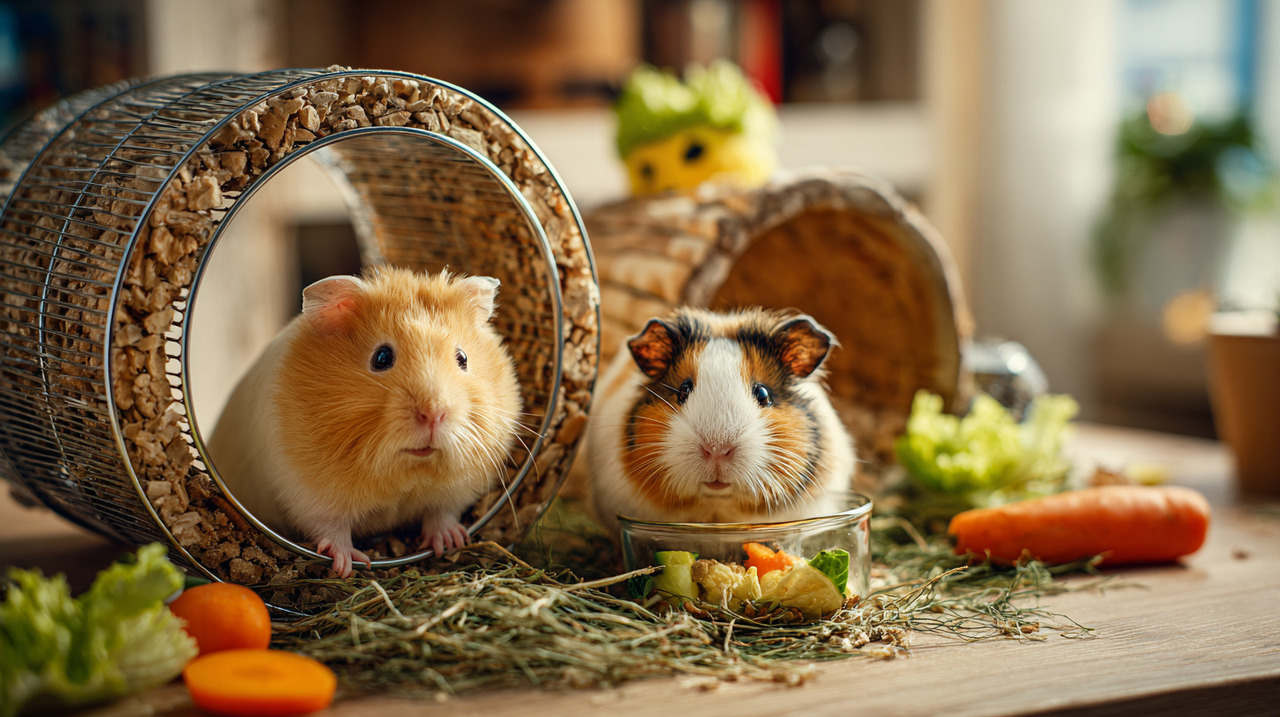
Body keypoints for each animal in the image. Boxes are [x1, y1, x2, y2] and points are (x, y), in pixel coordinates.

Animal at [208, 266, 522, 577]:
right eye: (381, 357)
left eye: (463, 358)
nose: (433, 413)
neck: (406, 470)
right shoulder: (308, 493)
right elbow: (331, 529)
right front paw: (348, 566)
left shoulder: (455, 490)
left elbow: (441, 512)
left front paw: (451, 542)